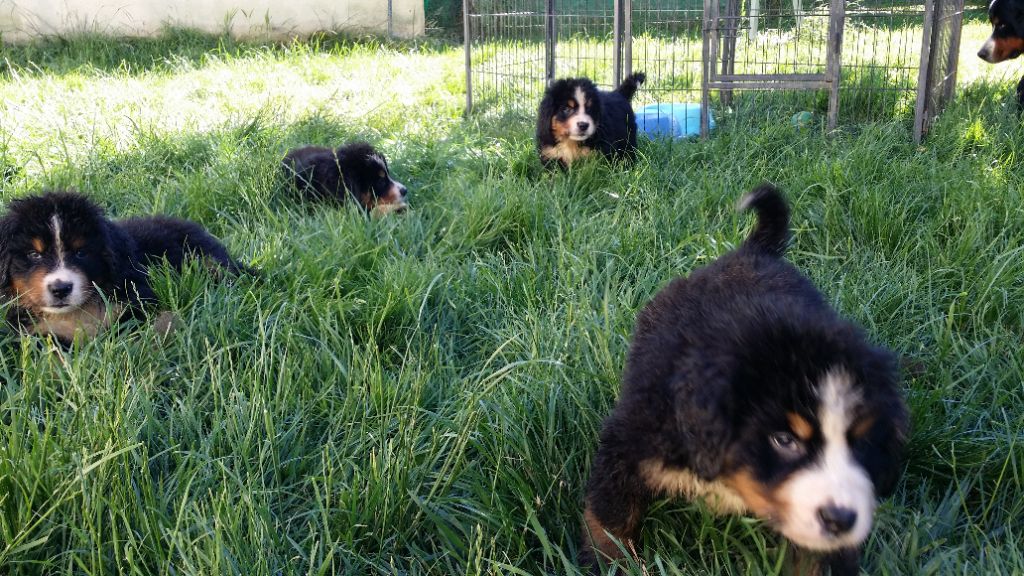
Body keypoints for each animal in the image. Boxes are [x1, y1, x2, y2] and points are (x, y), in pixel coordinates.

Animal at [581, 183, 909, 573]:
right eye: (784, 440)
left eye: (860, 442)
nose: (840, 519)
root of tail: (752, 252)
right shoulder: (631, 444)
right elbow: (610, 521)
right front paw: (608, 563)